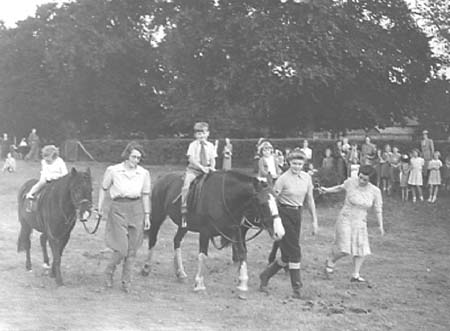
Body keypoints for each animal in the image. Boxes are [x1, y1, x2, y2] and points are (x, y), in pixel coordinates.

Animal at [141, 171, 284, 294]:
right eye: (262, 203)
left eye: (277, 200)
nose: (280, 233)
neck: (224, 198)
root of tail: (163, 179)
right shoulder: (205, 232)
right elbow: (202, 255)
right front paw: (199, 284)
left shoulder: (236, 230)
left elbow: (242, 252)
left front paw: (243, 283)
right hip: (158, 216)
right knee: (152, 239)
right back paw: (146, 267)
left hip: (183, 225)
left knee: (176, 241)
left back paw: (180, 273)